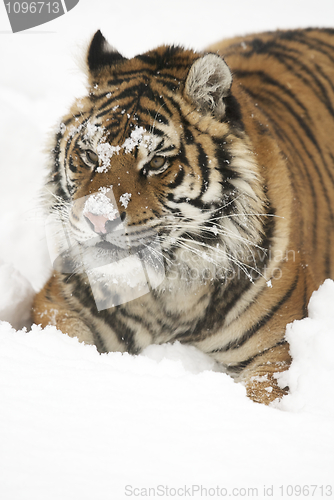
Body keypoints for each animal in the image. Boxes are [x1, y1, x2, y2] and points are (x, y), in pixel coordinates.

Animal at [32, 27, 334, 404]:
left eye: (157, 162)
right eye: (89, 156)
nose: (97, 220)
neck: (163, 294)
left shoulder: (274, 352)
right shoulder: (58, 306)